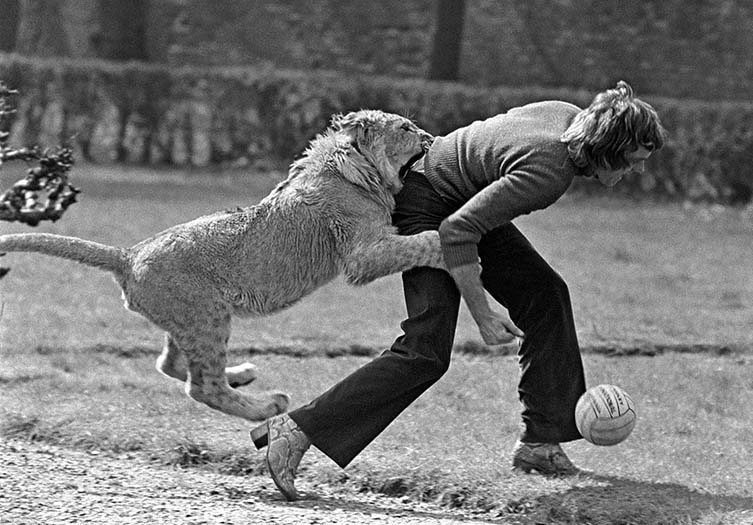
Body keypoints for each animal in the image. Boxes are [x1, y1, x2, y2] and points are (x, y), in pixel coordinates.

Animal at [0, 109, 444, 422]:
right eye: (406, 128)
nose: (430, 138)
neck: (349, 164)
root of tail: (128, 255)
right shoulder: (362, 255)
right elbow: (420, 243)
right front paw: (448, 237)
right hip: (207, 316)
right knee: (202, 387)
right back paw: (266, 405)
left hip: (187, 320)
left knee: (172, 364)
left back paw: (241, 373)